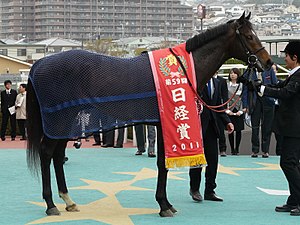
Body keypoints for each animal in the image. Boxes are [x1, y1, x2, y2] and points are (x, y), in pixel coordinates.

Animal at [27, 12, 274, 218]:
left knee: (57, 155)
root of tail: (40, 63)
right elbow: (162, 165)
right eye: (250, 36)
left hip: (64, 122)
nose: (268, 62)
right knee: (47, 154)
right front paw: (164, 206)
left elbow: (162, 164)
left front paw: (167, 203)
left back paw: (68, 201)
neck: (182, 69)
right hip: (59, 120)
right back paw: (50, 204)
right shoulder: (166, 124)